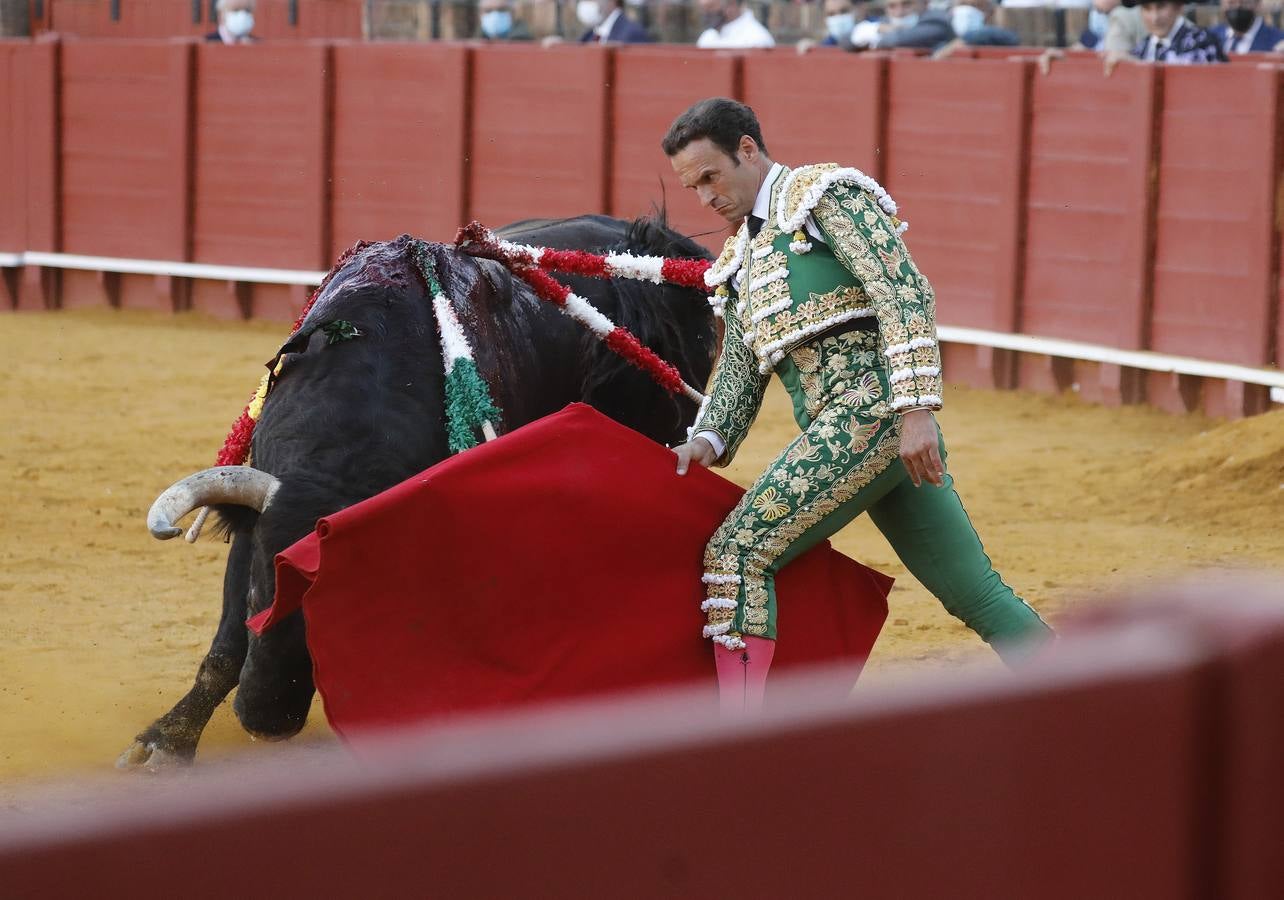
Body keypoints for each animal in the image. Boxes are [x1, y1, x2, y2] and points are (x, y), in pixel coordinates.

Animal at [121, 214, 719, 770]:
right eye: (255, 596)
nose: (266, 721)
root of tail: (651, 237)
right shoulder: (255, 518)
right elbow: (225, 646)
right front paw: (166, 742)